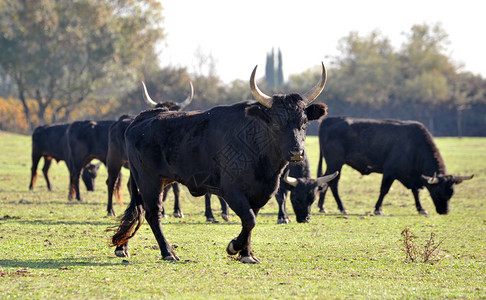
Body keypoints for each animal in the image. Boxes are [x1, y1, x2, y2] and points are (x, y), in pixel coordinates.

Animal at [105, 81, 194, 217]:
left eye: (175, 111)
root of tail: (119, 121)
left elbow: (176, 189)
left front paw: (177, 210)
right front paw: (163, 211)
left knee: (130, 185)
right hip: (114, 160)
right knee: (111, 183)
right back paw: (110, 210)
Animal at [318, 116, 472, 214]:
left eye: (451, 193)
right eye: (438, 192)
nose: (445, 211)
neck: (415, 146)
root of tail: (329, 120)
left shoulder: (413, 176)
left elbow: (416, 192)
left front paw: (421, 208)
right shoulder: (390, 171)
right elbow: (384, 190)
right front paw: (378, 209)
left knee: (326, 181)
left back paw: (322, 206)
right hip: (335, 162)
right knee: (332, 183)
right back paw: (341, 207)